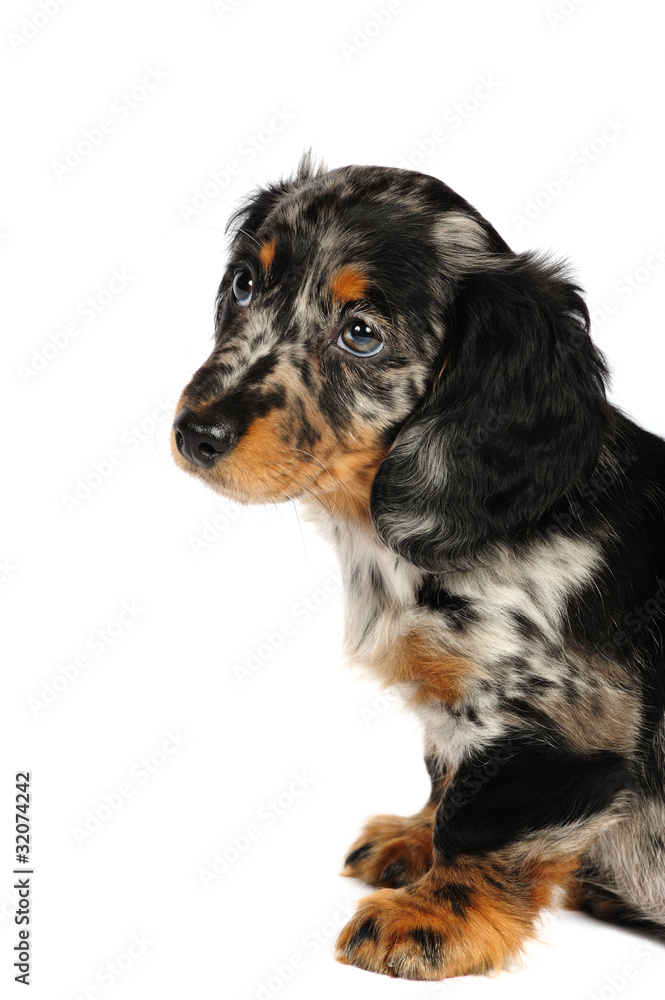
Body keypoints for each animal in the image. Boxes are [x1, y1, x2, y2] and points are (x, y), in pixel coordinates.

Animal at [171, 160, 664, 980]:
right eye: (244, 284)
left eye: (361, 334)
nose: (195, 433)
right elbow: (447, 773)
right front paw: (413, 840)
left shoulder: (562, 724)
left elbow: (482, 818)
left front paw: (434, 917)